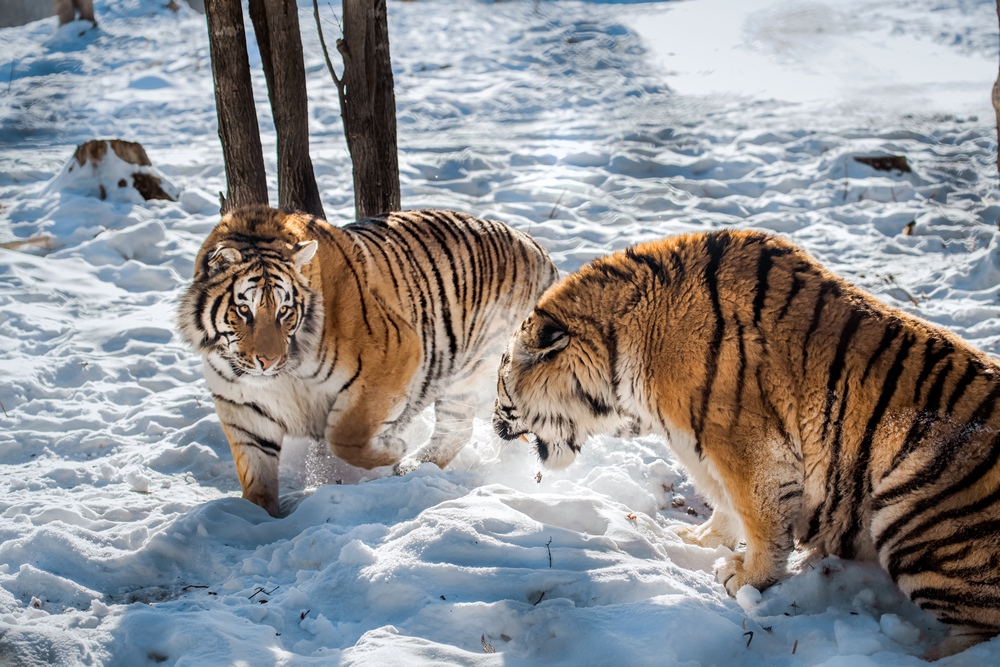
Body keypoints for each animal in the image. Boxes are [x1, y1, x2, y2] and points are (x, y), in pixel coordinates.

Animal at [178, 206, 556, 520]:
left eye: (285, 310)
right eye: (245, 310)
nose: (268, 360)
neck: (283, 374)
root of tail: (538, 248)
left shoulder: (395, 354)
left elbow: (345, 435)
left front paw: (390, 450)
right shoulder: (243, 408)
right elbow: (256, 479)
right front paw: (256, 523)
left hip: (474, 369)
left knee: (456, 430)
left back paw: (408, 469)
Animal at [496, 232, 1000, 660]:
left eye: (500, 378)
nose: (494, 424)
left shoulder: (745, 444)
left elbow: (759, 516)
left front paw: (747, 578)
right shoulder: (704, 446)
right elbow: (725, 502)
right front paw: (701, 539)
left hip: (912, 521)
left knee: (981, 628)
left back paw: (920, 655)